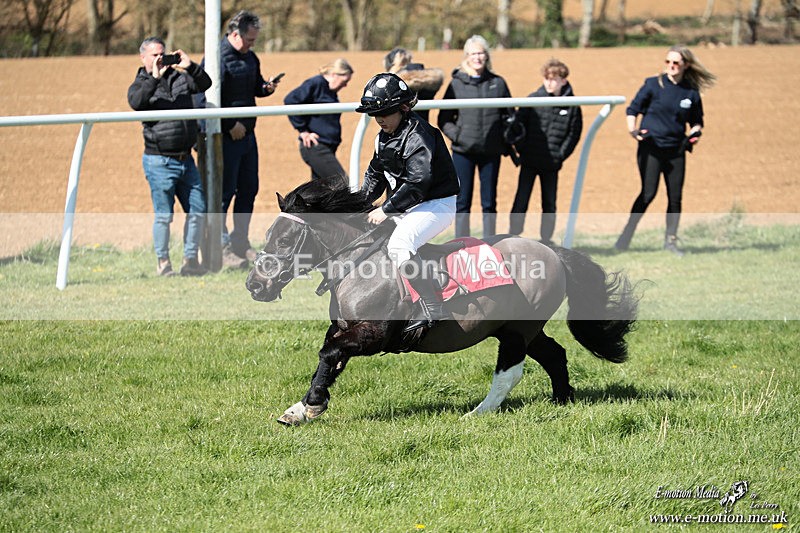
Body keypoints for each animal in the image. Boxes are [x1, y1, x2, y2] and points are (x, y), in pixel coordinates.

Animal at [246, 176, 638, 425]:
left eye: (284, 240)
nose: (254, 285)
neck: (358, 264)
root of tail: (552, 252)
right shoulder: (343, 329)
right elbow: (327, 360)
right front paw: (300, 409)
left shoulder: (373, 335)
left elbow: (329, 354)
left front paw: (311, 405)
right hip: (520, 328)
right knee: (555, 354)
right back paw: (562, 399)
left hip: (516, 331)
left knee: (510, 371)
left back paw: (477, 413)